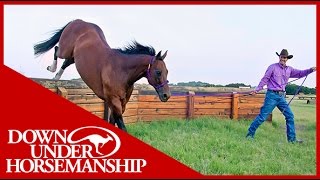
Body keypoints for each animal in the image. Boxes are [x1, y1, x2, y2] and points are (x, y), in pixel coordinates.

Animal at [33, 19, 171, 132]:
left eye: (167, 71)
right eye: (158, 72)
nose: (167, 95)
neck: (121, 71)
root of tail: (78, 21)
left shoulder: (121, 103)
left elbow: (113, 123)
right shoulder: (114, 101)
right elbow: (121, 126)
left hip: (73, 56)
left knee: (66, 62)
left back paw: (56, 77)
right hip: (65, 50)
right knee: (56, 50)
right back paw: (52, 69)